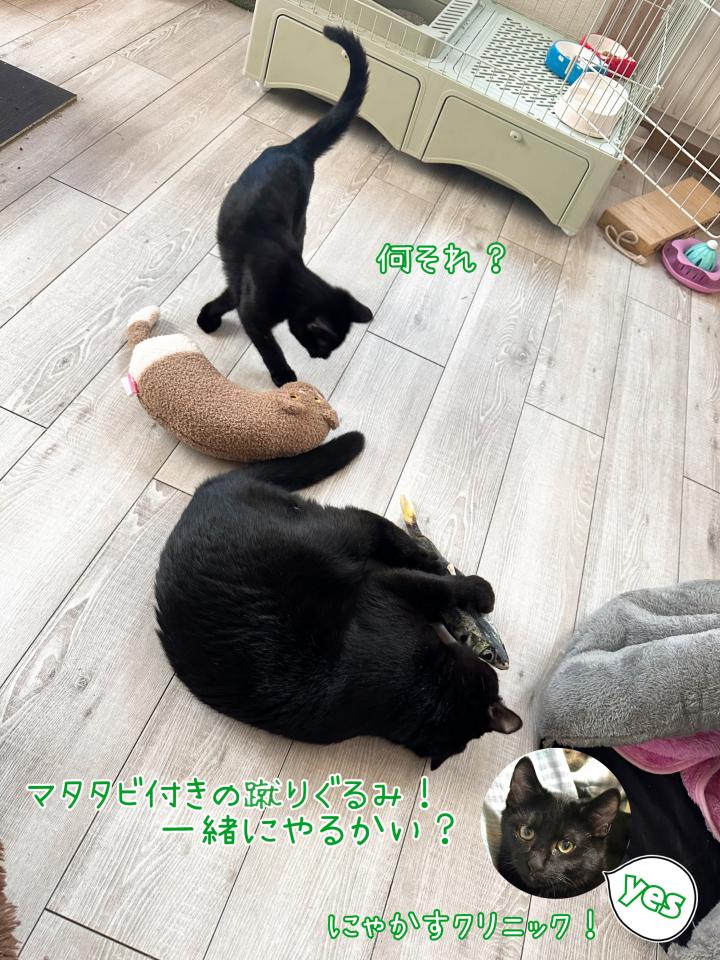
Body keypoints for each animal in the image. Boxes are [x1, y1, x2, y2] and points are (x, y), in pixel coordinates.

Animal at [155, 432, 522, 769]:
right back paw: (445, 566)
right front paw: (477, 592)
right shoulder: (385, 587)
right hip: (336, 535)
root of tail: (204, 491)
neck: (418, 688)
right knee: (374, 526)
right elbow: (438, 588)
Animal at [196, 27, 374, 387]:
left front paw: (208, 316)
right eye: (325, 343)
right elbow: (270, 346)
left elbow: (228, 298)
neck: (293, 284)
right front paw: (286, 378)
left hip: (300, 220)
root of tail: (295, 148)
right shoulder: (254, 312)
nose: (322, 358)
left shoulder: (242, 291)